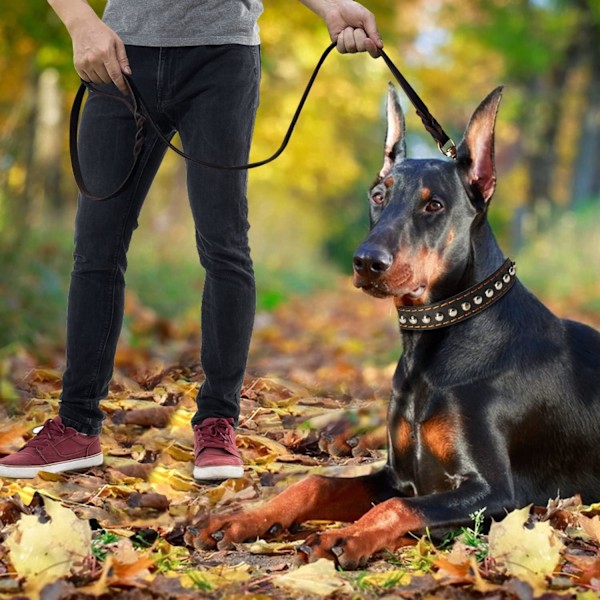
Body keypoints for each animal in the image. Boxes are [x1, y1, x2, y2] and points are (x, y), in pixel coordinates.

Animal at [197, 84, 600, 568]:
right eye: (377, 195)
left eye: (434, 205)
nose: (367, 262)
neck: (437, 339)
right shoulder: (397, 472)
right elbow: (317, 482)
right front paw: (241, 519)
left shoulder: (496, 493)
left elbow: (397, 506)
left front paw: (347, 536)